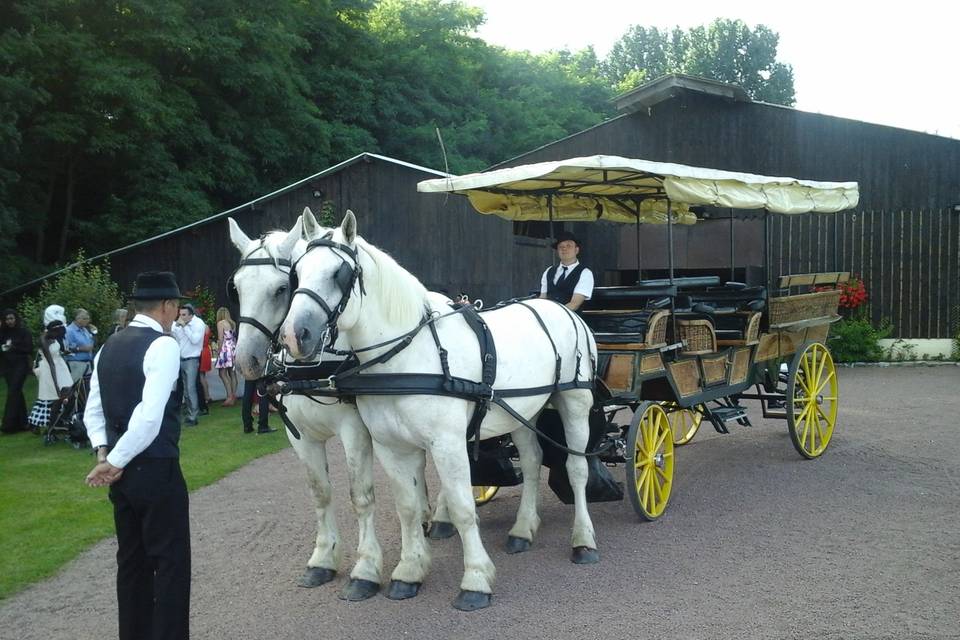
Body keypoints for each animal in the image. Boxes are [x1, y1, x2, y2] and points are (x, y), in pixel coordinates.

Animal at [229, 215, 394, 600]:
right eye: (237, 288)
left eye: (280, 288)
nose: (245, 360)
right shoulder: (300, 436)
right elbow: (320, 493)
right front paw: (322, 560)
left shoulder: (354, 431)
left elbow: (360, 496)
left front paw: (366, 569)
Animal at [278, 210, 600, 608]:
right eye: (296, 273)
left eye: (341, 273)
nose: (294, 336)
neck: (407, 357)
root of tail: (560, 308)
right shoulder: (391, 446)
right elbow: (408, 506)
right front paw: (409, 571)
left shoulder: (447, 443)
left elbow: (463, 508)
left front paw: (475, 579)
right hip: (524, 412)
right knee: (531, 460)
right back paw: (523, 530)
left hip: (575, 402)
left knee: (576, 468)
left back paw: (583, 541)